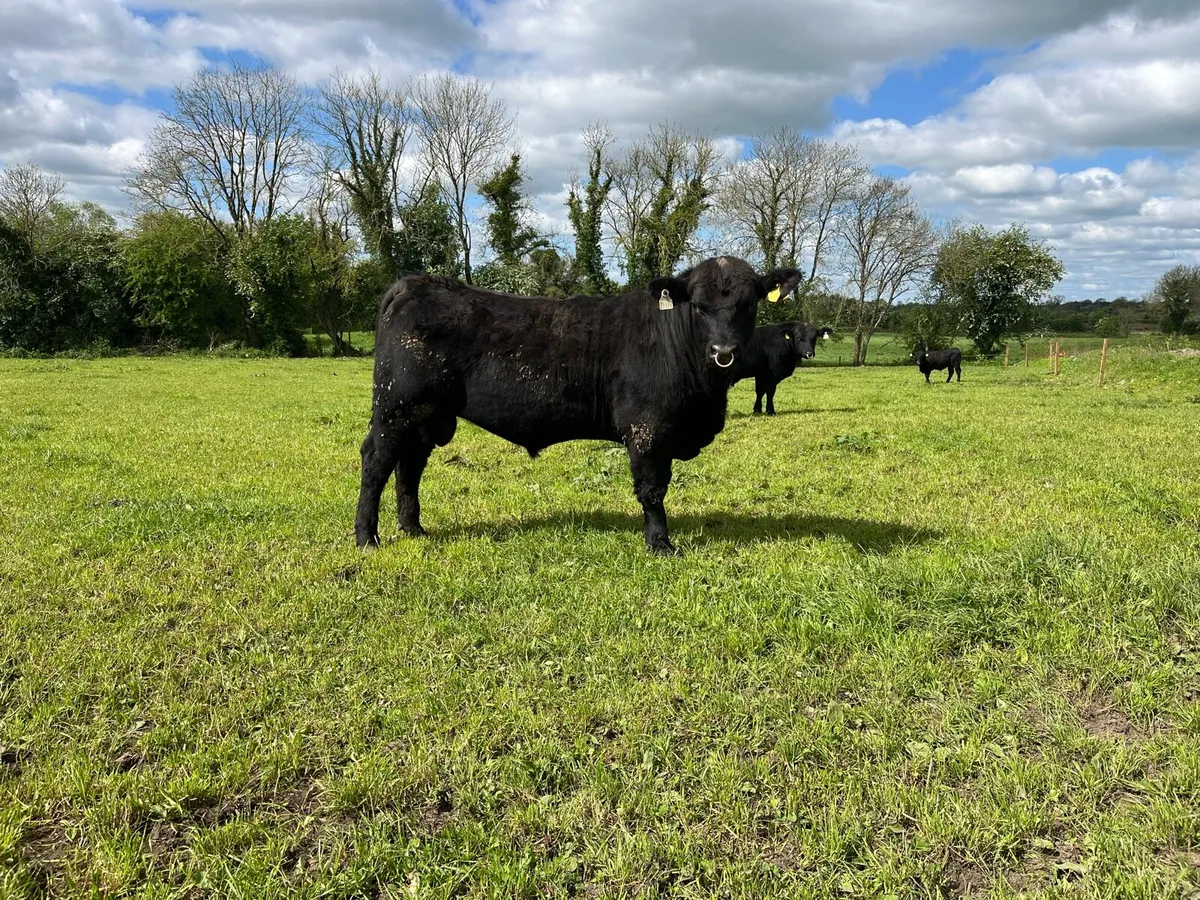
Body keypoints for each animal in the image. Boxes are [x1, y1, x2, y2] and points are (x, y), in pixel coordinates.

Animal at [354, 257, 805, 556]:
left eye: (750, 303)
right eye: (697, 304)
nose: (723, 352)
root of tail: (413, 284)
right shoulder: (647, 430)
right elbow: (652, 490)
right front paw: (660, 544)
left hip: (425, 416)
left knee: (410, 467)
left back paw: (413, 528)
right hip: (395, 408)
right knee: (377, 463)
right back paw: (367, 537)